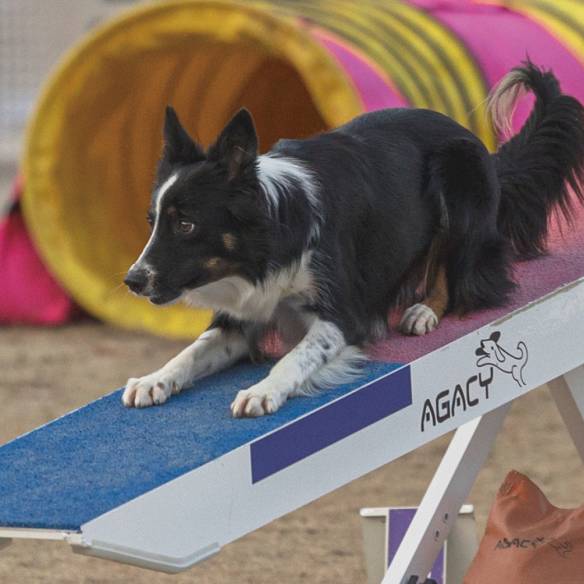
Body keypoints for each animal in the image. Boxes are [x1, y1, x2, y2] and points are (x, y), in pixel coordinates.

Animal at [122, 62, 584, 416]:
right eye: (152, 220)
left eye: (186, 224)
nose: (132, 281)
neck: (274, 231)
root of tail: (487, 154)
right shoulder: (243, 316)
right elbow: (193, 351)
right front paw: (153, 379)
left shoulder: (343, 314)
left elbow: (296, 356)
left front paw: (262, 391)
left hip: (457, 178)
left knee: (458, 276)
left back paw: (423, 310)